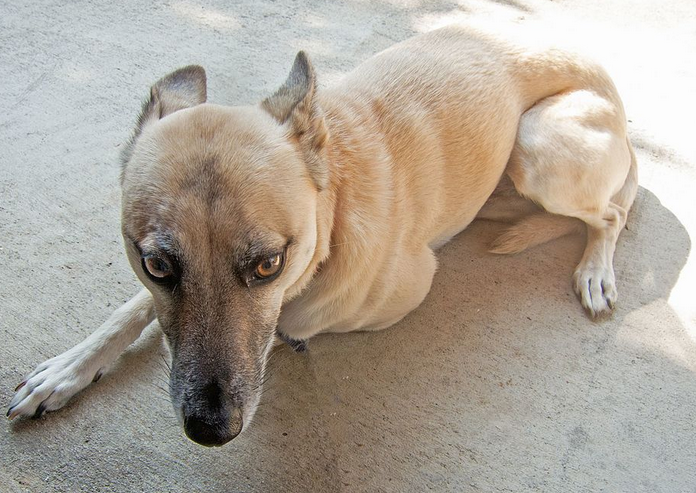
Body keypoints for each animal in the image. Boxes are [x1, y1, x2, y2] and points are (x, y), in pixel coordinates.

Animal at [5, 21, 636, 446]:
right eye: (157, 264)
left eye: (268, 265)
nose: (211, 429)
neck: (334, 206)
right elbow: (131, 310)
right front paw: (70, 367)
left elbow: (285, 330)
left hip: (538, 146)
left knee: (610, 216)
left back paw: (595, 272)